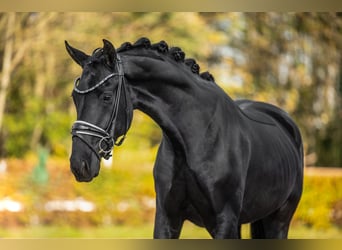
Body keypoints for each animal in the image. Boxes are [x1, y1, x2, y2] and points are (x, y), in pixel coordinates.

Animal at [65, 37, 304, 238]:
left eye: (106, 97)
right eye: (75, 97)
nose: (79, 165)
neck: (195, 138)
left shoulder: (224, 221)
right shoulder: (167, 218)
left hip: (278, 221)